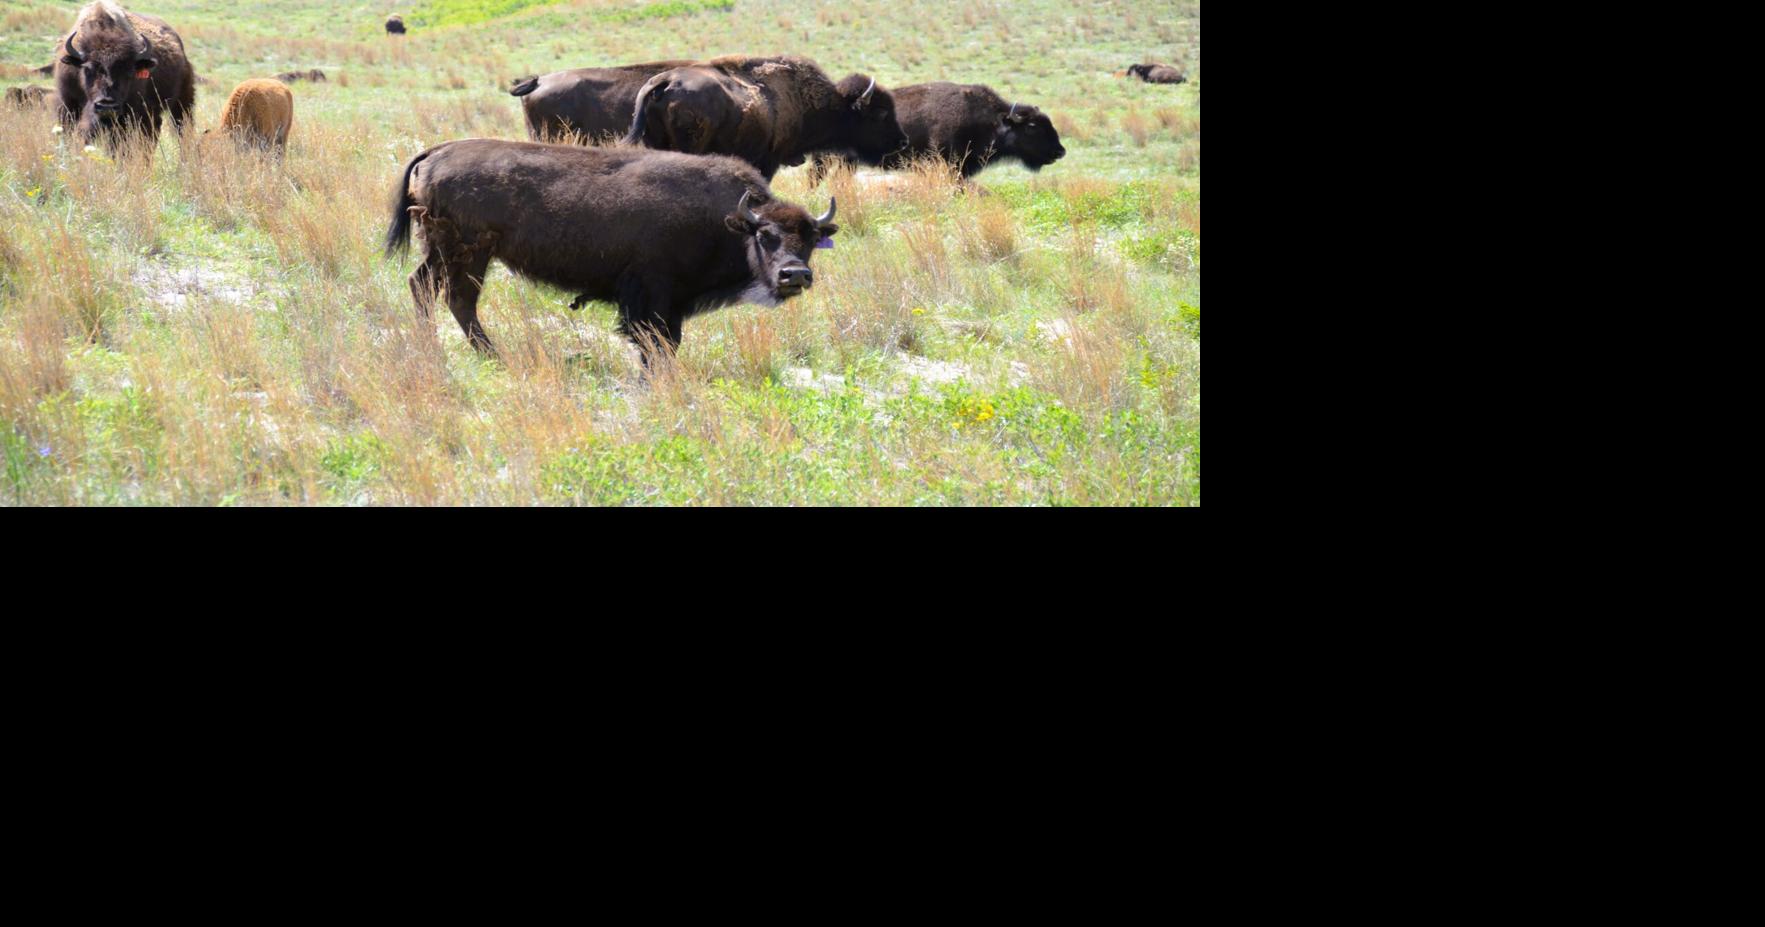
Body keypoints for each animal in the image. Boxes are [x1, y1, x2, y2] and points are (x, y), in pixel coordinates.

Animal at [55, 1, 194, 146]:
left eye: (128, 71)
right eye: (87, 69)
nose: (106, 106)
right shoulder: (68, 103)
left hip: (182, 102)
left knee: (180, 127)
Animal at [385, 140, 838, 363]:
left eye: (811, 239)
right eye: (764, 236)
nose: (795, 275)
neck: (728, 217)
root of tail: (435, 152)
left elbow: (667, 343)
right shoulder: (652, 297)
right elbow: (656, 343)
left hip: (446, 253)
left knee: (425, 287)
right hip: (466, 254)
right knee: (456, 298)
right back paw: (492, 355)